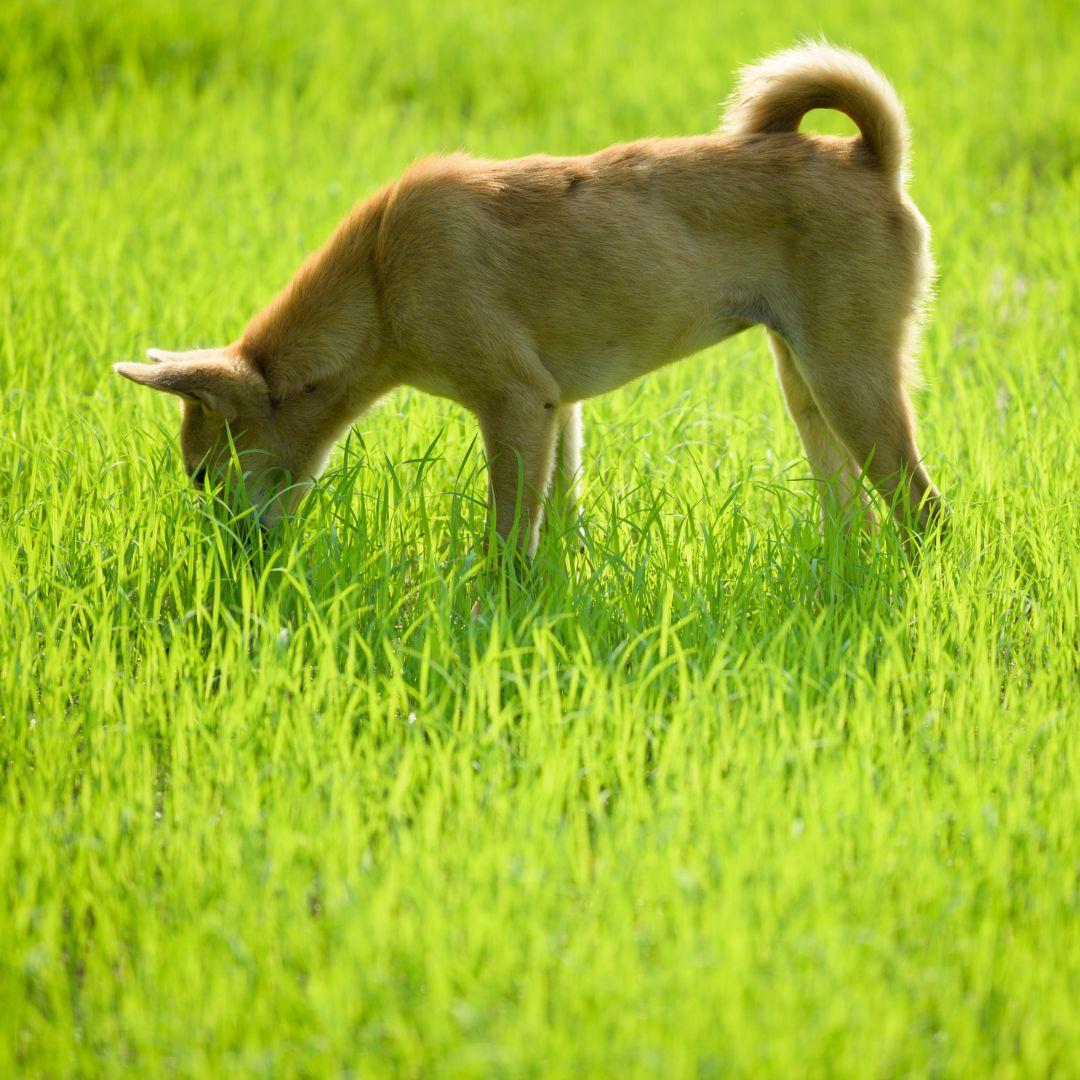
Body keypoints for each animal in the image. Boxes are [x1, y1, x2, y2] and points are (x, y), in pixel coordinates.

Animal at [116, 42, 946, 552]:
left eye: (200, 474)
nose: (225, 561)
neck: (381, 281)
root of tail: (872, 158)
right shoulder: (560, 408)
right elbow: (557, 523)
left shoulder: (516, 402)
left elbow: (510, 537)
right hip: (805, 387)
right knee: (860, 516)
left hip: (850, 381)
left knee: (924, 510)